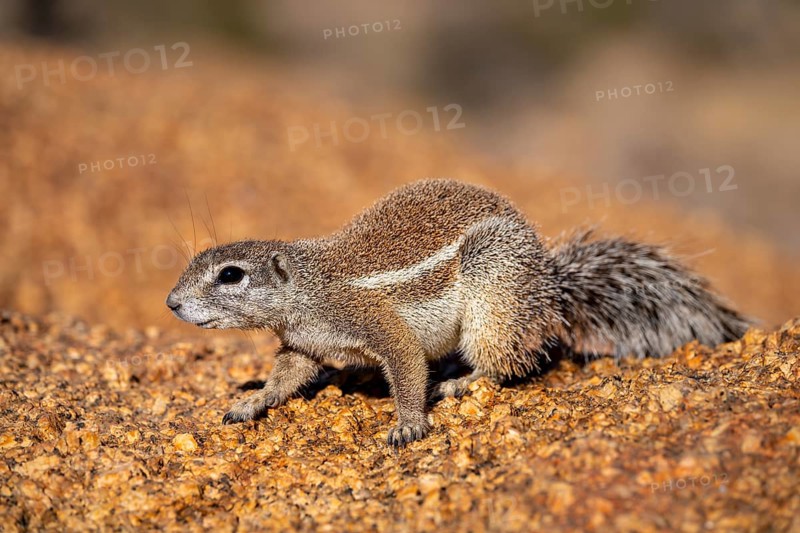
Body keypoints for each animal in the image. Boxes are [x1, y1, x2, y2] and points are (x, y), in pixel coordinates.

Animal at [166, 179, 750, 446]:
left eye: (231, 276)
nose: (171, 302)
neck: (309, 290)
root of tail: (550, 285)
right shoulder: (302, 345)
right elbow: (287, 377)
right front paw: (251, 402)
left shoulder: (376, 321)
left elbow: (405, 365)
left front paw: (407, 424)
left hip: (494, 299)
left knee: (507, 364)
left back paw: (461, 381)